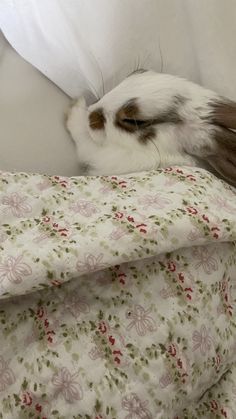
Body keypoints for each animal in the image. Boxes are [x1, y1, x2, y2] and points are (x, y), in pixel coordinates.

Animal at [65, 69, 236, 186]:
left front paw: (75, 107)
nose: (91, 113)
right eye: (138, 71)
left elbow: (82, 139)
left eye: (134, 121)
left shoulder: (100, 156)